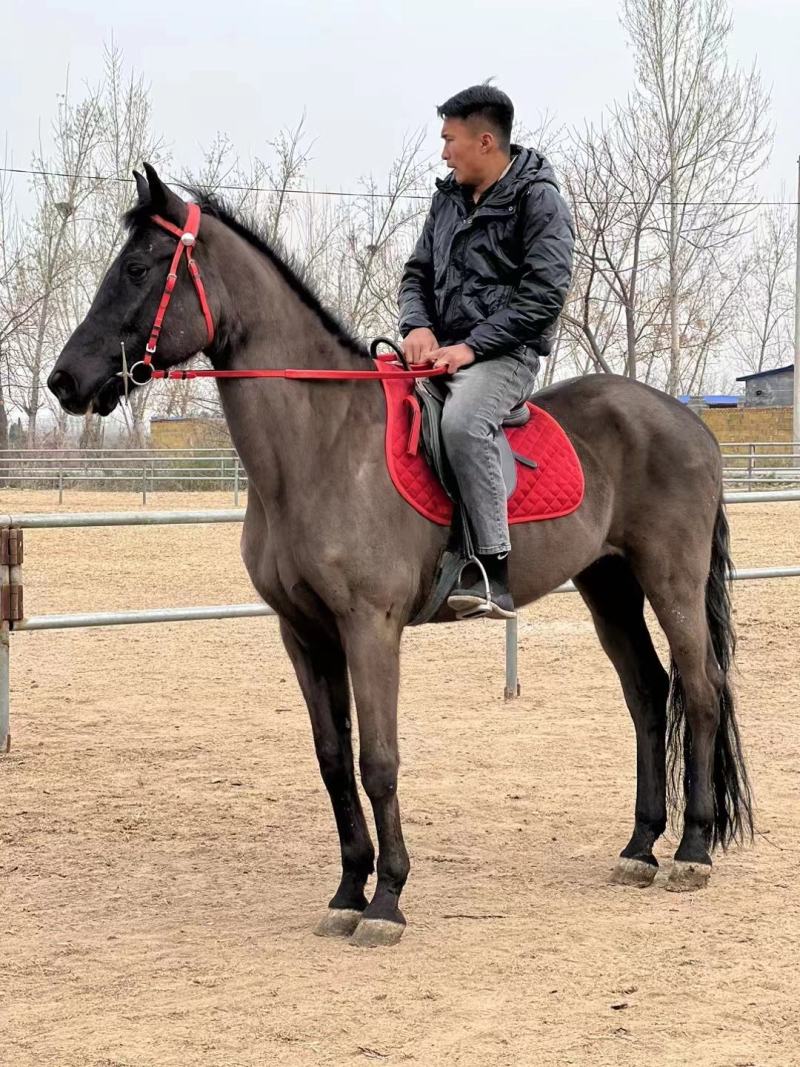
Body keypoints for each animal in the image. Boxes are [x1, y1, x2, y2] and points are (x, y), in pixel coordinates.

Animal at [48, 164, 752, 948]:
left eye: (138, 269)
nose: (65, 380)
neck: (321, 447)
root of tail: (689, 422)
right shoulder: (303, 633)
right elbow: (332, 761)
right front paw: (347, 891)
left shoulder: (370, 627)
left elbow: (378, 761)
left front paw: (387, 900)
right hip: (609, 585)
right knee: (648, 694)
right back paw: (639, 848)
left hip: (671, 579)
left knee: (701, 688)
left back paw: (691, 851)